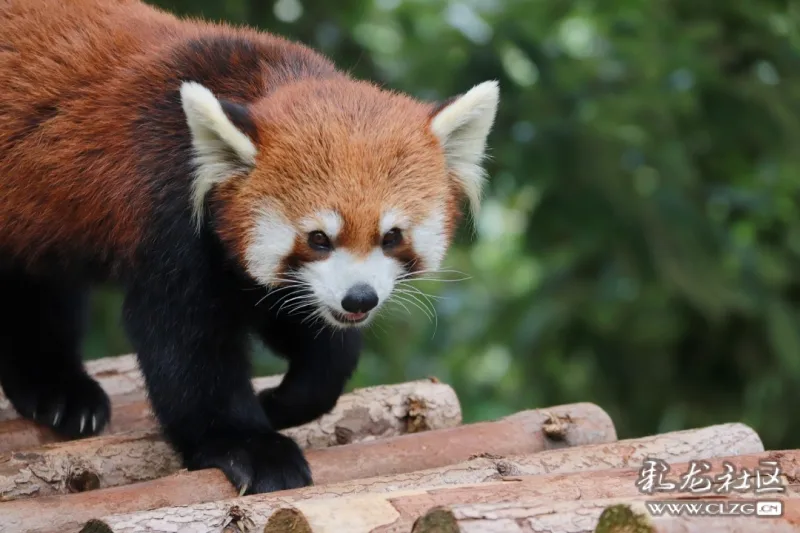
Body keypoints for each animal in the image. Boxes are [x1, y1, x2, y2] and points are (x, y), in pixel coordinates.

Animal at [0, 0, 500, 492]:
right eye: (319, 238)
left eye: (391, 236)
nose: (359, 298)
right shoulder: (170, 222)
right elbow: (186, 348)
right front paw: (249, 448)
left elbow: (311, 334)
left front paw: (285, 400)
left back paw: (58, 392)